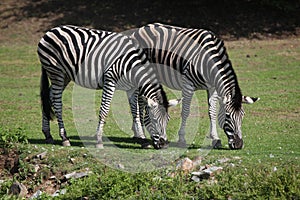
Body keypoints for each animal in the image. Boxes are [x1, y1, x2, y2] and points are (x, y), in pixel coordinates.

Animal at [37, 25, 175, 149]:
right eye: (154, 120)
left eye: (168, 120)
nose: (164, 145)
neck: (132, 65)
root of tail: (51, 30)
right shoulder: (110, 81)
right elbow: (104, 111)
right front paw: (99, 141)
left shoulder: (132, 88)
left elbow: (135, 113)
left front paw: (143, 140)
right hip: (56, 72)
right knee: (57, 103)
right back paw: (64, 138)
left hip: (65, 75)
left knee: (48, 97)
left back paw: (48, 135)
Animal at [127, 23, 258, 148]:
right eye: (228, 116)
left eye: (242, 116)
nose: (238, 145)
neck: (208, 59)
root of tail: (141, 28)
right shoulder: (188, 85)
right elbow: (186, 111)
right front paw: (182, 139)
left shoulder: (213, 87)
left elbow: (212, 111)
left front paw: (215, 139)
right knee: (140, 101)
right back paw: (140, 134)